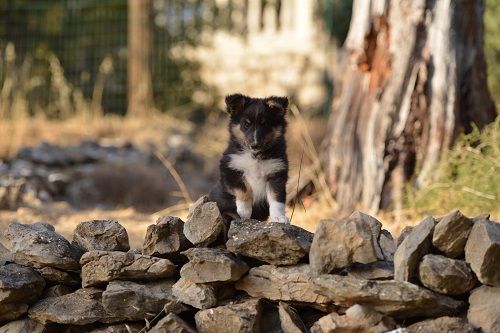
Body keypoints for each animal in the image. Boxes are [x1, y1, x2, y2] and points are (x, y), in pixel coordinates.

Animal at [209, 93, 292, 223]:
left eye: (265, 124)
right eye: (246, 124)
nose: (254, 145)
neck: (255, 155)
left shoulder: (277, 174)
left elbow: (277, 199)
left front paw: (279, 217)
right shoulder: (230, 170)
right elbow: (244, 189)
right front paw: (244, 211)